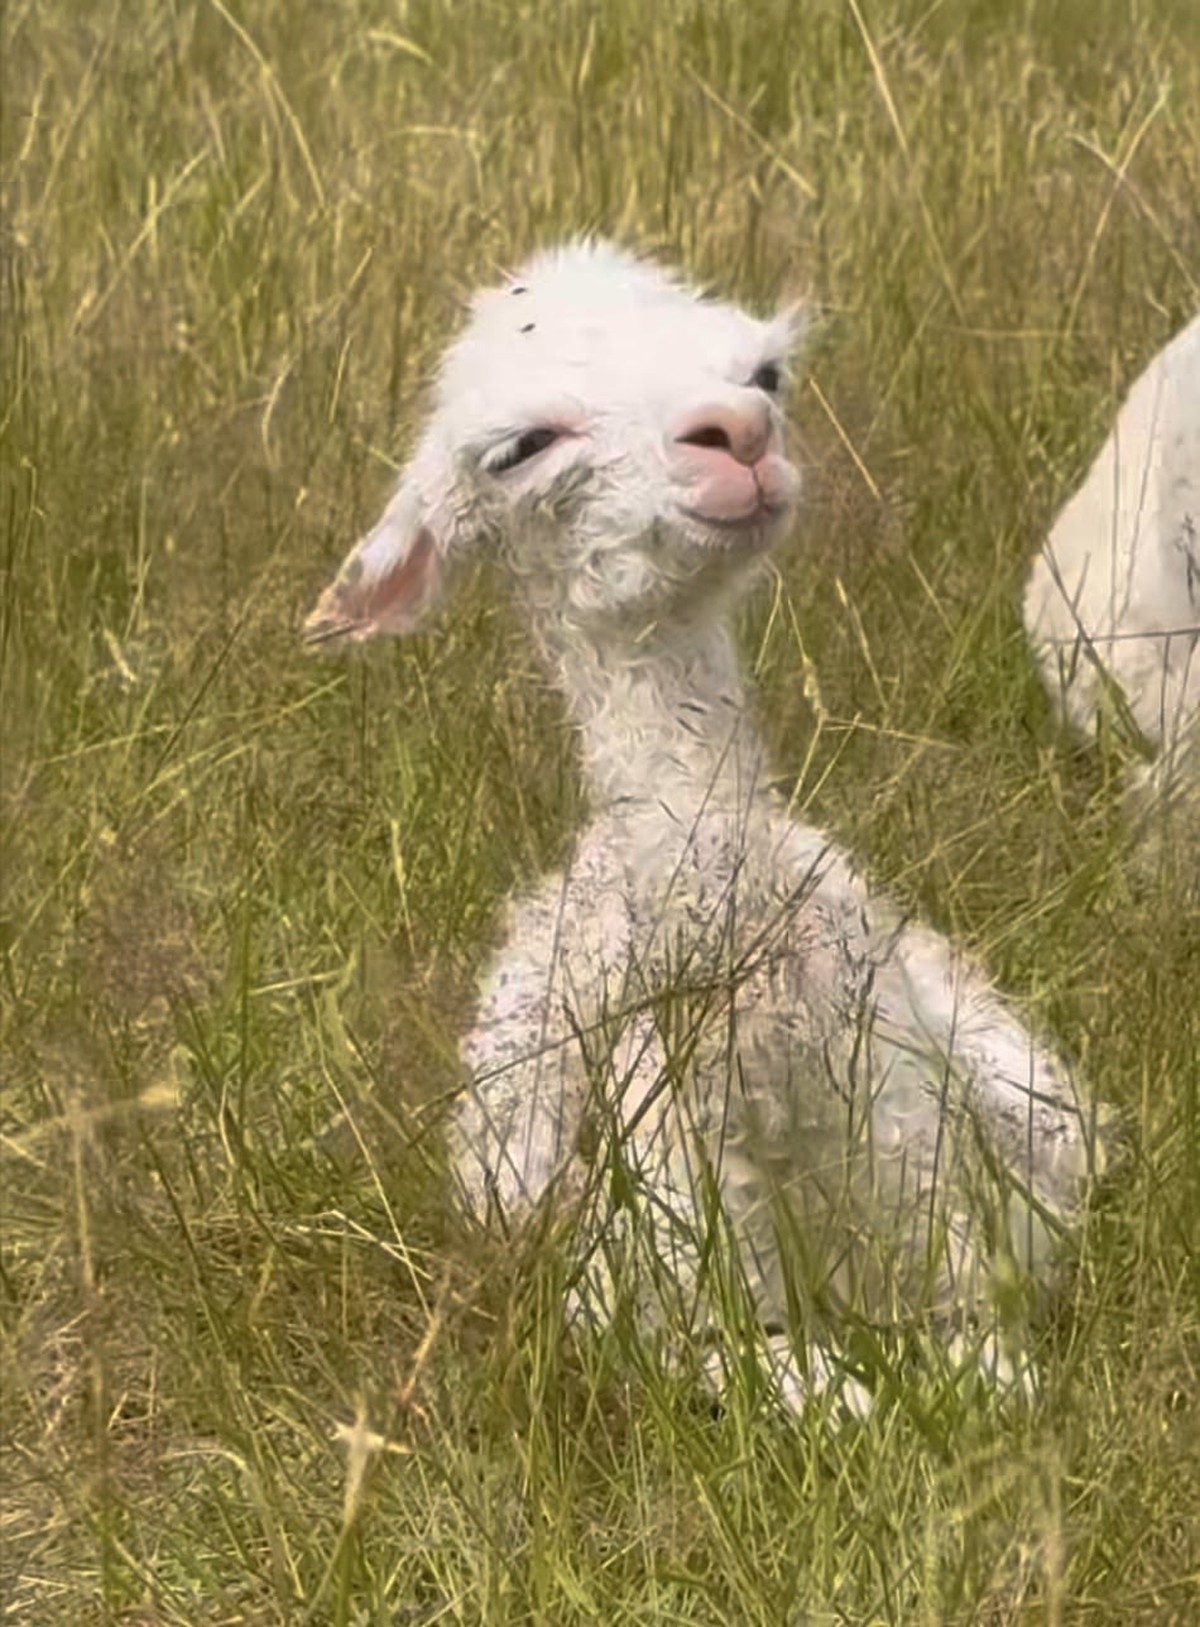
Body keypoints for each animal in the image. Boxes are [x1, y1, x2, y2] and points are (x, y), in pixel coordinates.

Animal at [305, 242, 1103, 1411]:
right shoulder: (656, 1299)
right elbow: (809, 1385)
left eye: (764, 374)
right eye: (523, 446)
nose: (737, 433)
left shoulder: (965, 1229)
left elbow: (990, 1371)